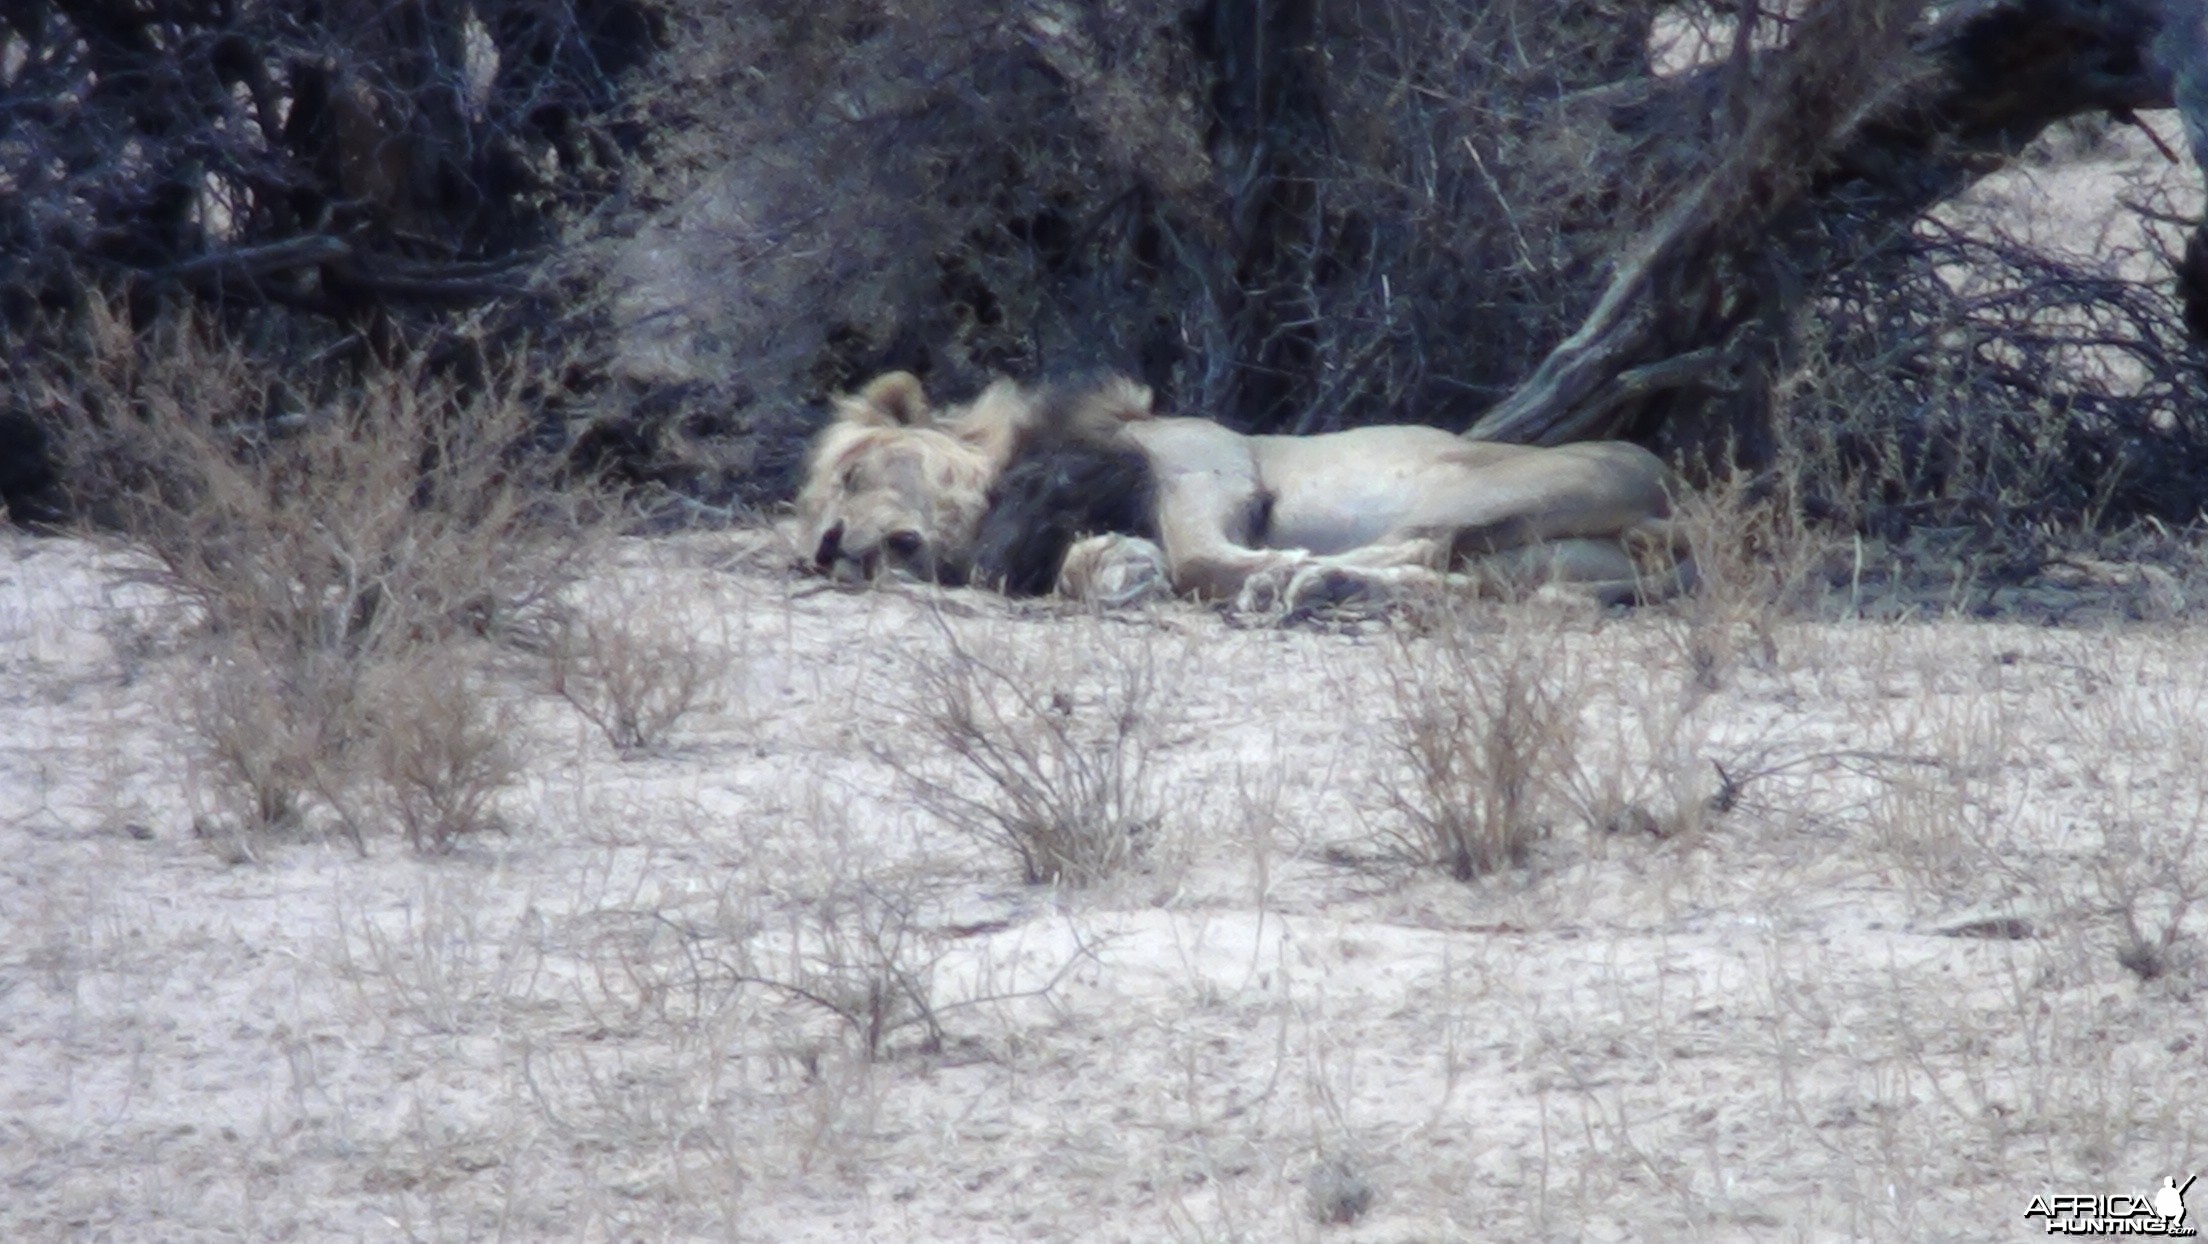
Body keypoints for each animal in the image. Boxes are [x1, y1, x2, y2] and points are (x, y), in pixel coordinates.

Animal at [794, 369, 1686, 614]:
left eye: (852, 474)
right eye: (813, 541)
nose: (834, 550)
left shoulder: (1208, 462)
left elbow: (1198, 555)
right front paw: (1117, 570)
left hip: (1506, 485)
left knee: (1424, 544)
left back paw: (1306, 581)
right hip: (1538, 563)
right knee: (1462, 580)